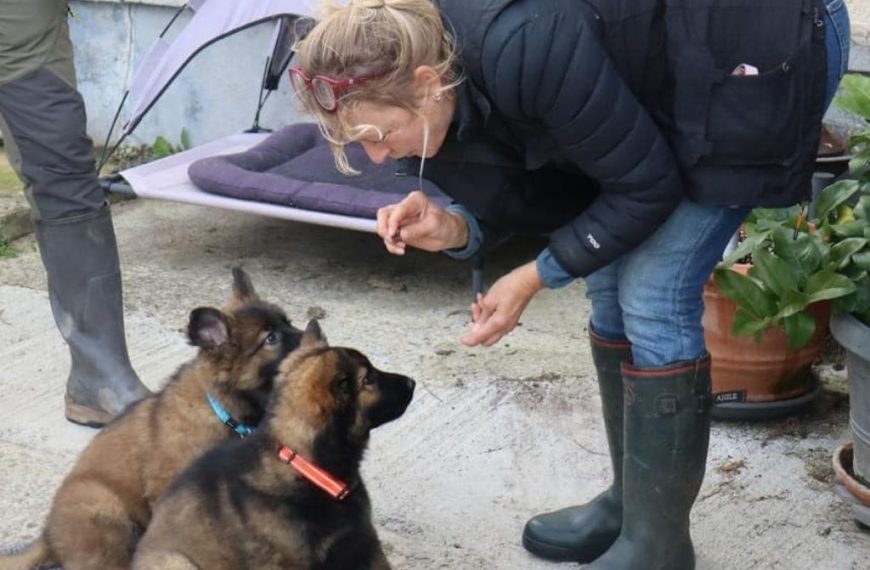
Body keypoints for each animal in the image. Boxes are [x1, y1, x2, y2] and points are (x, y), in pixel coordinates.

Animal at [0, 268, 304, 570]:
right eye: (271, 339)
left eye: (288, 321)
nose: (313, 334)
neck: (222, 407)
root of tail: (47, 536)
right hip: (104, 508)